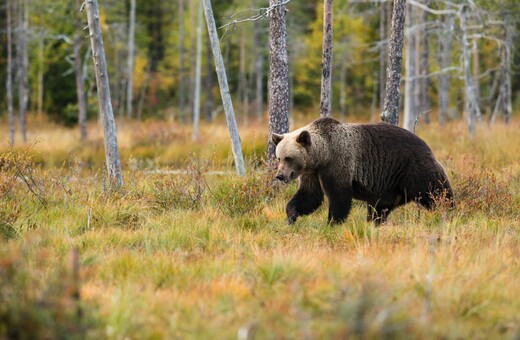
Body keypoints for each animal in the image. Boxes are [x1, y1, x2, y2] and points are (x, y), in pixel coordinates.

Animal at [274, 117, 452, 226]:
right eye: (279, 157)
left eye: (289, 158)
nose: (280, 175)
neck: (322, 156)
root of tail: (425, 143)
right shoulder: (312, 173)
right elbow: (310, 196)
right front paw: (291, 216)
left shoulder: (338, 163)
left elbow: (339, 196)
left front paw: (332, 223)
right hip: (389, 186)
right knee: (379, 208)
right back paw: (375, 223)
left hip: (413, 168)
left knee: (436, 191)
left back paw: (448, 211)